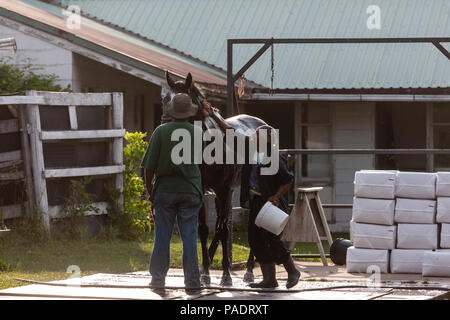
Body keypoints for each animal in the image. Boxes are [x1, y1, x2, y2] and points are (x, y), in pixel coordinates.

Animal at [161, 70, 264, 284]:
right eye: (165, 99)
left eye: (184, 100)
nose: (165, 123)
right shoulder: (203, 191)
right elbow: (204, 229)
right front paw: (205, 273)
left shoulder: (224, 190)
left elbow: (223, 230)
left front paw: (226, 275)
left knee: (250, 222)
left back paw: (250, 270)